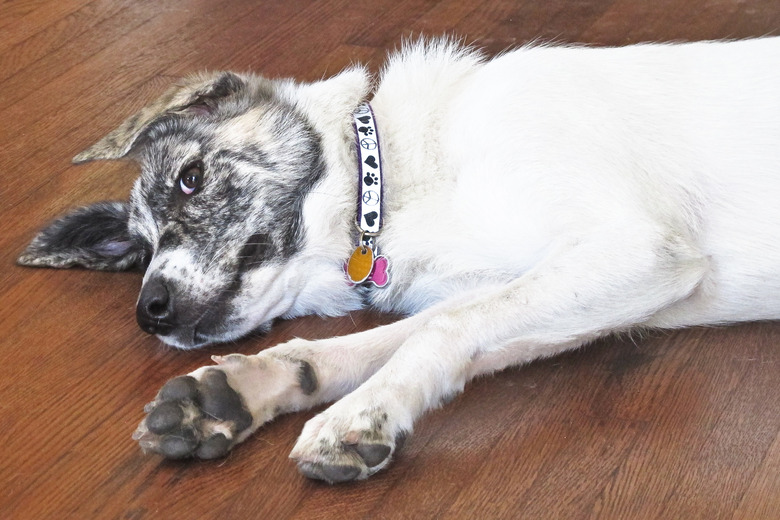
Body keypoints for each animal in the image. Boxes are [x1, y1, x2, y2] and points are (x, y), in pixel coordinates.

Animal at [16, 37, 780, 484]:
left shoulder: (638, 248)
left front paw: (361, 414)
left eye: (191, 178)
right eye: (138, 250)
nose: (149, 311)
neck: (393, 180)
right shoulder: (555, 288)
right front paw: (246, 388)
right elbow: (395, 341)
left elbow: (439, 329)